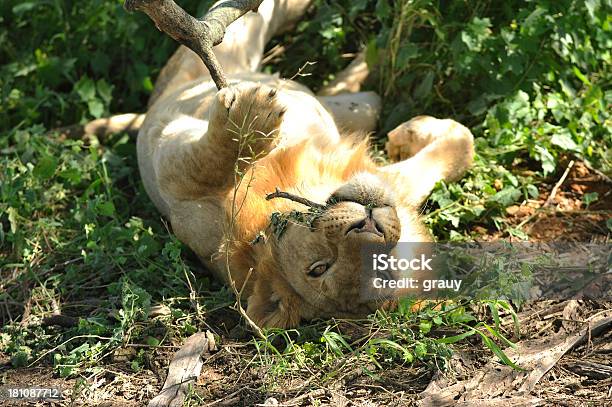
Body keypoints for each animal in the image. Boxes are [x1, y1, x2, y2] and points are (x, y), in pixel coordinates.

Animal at [136, 0, 476, 330]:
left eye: (383, 272)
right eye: (319, 268)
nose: (369, 226)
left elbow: (462, 144)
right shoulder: (175, 176)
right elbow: (209, 164)